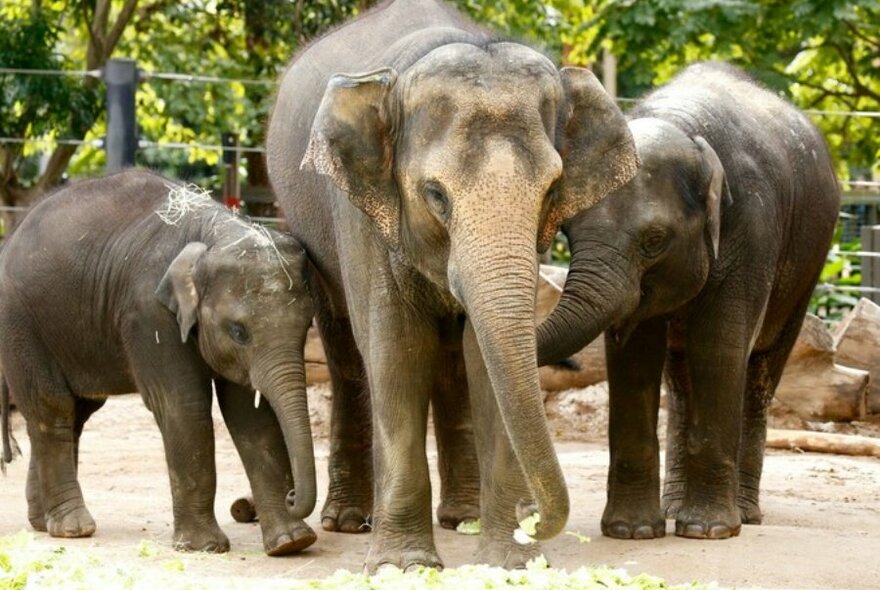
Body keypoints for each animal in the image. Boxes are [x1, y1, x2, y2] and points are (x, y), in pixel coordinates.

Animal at [0, 169, 320, 556]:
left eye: (307, 325)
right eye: (239, 331)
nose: (292, 495)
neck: (215, 232)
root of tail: (11, 237)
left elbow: (250, 414)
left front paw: (291, 543)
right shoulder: (147, 313)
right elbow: (183, 405)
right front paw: (203, 547)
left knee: (77, 411)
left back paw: (41, 522)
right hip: (19, 322)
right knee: (52, 407)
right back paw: (73, 528)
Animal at [264, 0, 636, 576]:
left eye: (551, 190)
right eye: (435, 194)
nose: (536, 524)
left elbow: (485, 357)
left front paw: (508, 562)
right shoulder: (363, 211)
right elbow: (397, 350)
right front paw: (402, 566)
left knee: (453, 361)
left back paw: (465, 517)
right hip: (305, 223)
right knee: (347, 352)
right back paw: (347, 520)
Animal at [536, 63, 840, 540]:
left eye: (654, 240)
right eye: (567, 231)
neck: (683, 127)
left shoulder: (752, 229)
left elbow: (719, 347)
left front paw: (708, 531)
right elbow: (634, 355)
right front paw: (632, 533)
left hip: (809, 265)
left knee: (761, 370)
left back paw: (744, 515)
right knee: (679, 382)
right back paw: (674, 506)